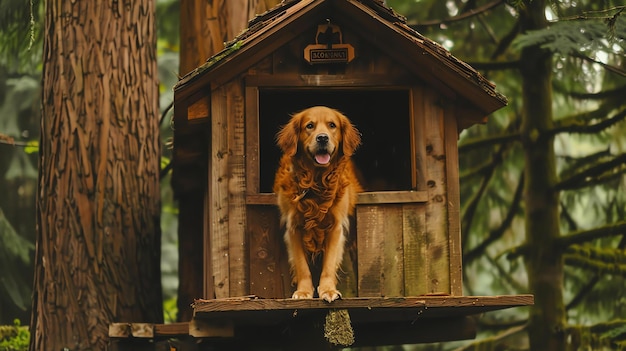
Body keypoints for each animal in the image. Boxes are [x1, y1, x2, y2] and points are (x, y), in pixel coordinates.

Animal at [272, 106, 360, 304]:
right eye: (309, 126)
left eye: (332, 125)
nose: (322, 138)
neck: (316, 182)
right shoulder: (293, 228)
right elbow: (302, 266)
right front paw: (303, 291)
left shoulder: (335, 227)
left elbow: (329, 264)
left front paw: (328, 290)